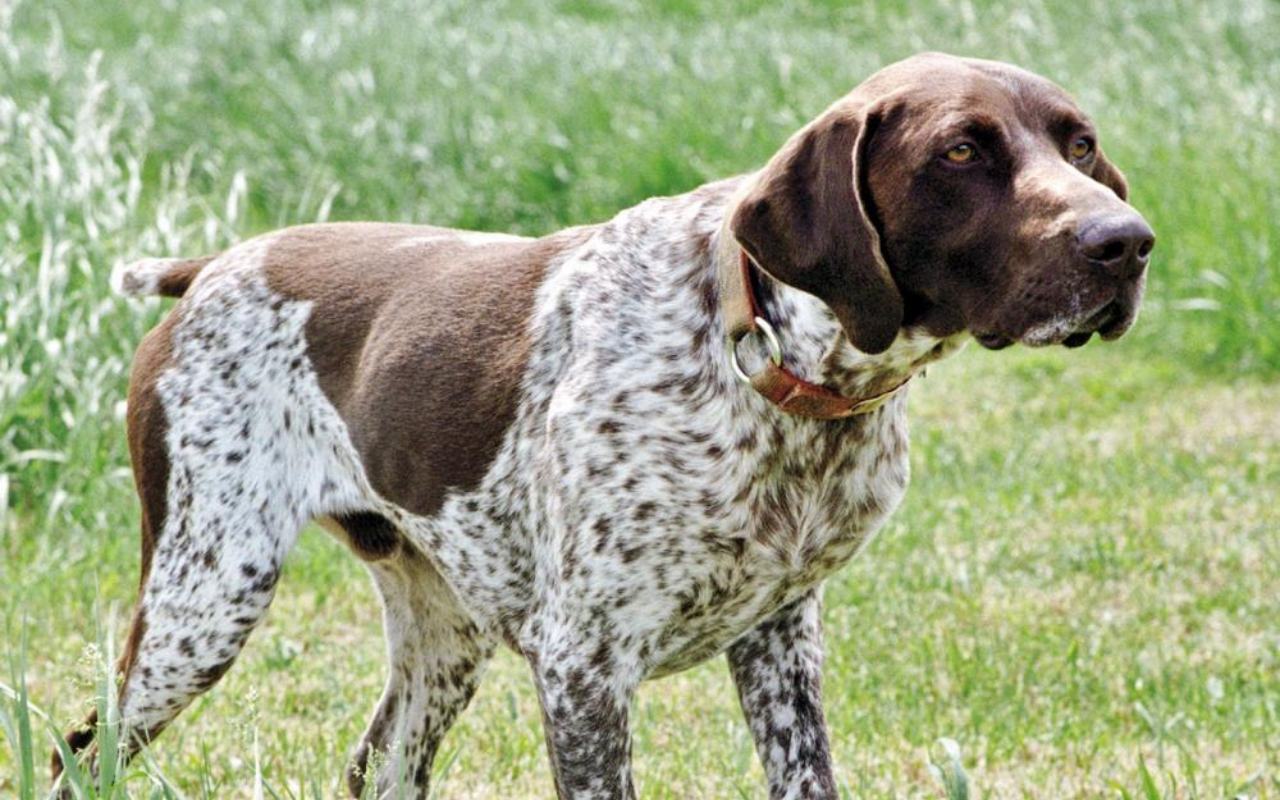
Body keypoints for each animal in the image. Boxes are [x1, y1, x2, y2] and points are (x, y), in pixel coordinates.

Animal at [60, 53, 1157, 793]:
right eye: (960, 149)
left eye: (1080, 144)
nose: (1126, 242)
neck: (763, 359)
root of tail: (214, 263)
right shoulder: (584, 666)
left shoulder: (779, 639)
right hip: (205, 597)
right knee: (84, 753)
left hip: (440, 638)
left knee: (377, 764)